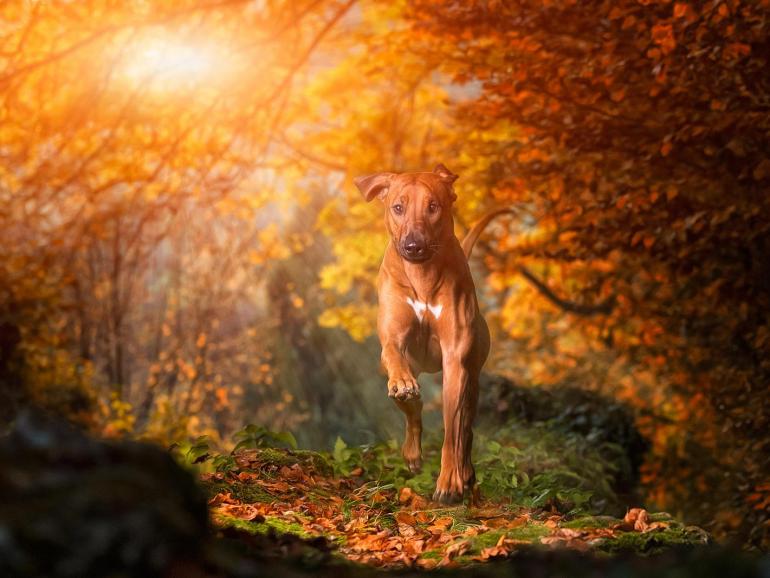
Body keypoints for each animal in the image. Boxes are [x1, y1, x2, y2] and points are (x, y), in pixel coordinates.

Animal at [356, 163, 510, 504]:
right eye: (398, 207)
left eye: (433, 206)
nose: (413, 245)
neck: (421, 277)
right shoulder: (392, 341)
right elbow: (396, 362)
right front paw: (402, 387)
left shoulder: (455, 360)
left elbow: (452, 433)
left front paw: (449, 482)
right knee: (415, 408)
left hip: (472, 378)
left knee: (465, 430)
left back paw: (465, 473)